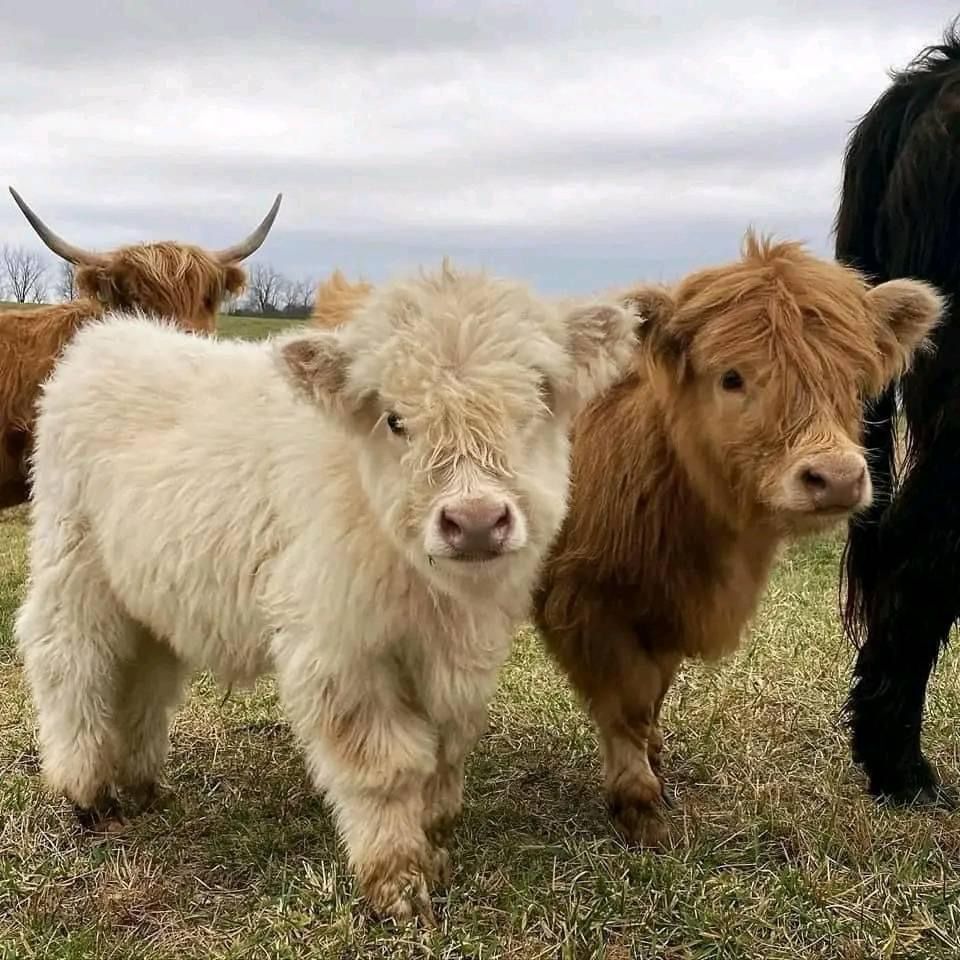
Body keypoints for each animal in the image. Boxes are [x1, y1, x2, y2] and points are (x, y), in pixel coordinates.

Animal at [13, 260, 640, 924]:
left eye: (537, 403)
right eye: (395, 419)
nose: (473, 522)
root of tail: (108, 336)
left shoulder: (462, 652)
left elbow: (447, 745)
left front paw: (436, 835)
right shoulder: (340, 650)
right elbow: (384, 765)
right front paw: (398, 882)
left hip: (147, 587)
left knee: (144, 671)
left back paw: (140, 785)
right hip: (72, 561)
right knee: (69, 657)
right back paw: (86, 790)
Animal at [529, 232, 944, 847]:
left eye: (853, 381)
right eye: (732, 377)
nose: (836, 477)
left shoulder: (670, 609)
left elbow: (654, 693)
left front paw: (655, 763)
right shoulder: (586, 602)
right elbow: (628, 702)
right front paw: (640, 807)